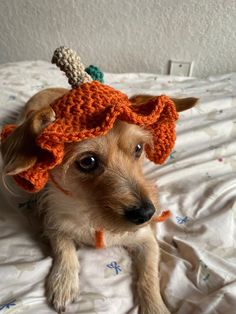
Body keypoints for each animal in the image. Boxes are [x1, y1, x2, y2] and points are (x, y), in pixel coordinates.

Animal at [0, 89, 198, 314]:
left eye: (138, 148)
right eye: (88, 161)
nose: (147, 213)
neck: (94, 216)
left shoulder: (146, 239)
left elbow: (148, 277)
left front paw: (155, 307)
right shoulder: (53, 224)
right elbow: (63, 249)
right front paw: (63, 282)